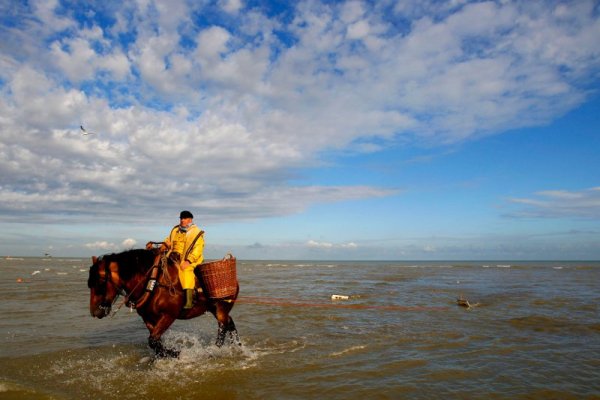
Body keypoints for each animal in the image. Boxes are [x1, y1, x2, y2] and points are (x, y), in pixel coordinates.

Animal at [87, 248, 241, 358]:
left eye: (99, 282)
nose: (94, 311)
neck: (153, 282)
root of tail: (235, 280)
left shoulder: (168, 315)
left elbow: (153, 341)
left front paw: (176, 353)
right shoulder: (148, 318)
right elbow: (155, 342)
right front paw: (165, 354)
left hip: (220, 307)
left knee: (223, 326)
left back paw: (213, 350)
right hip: (216, 309)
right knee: (230, 323)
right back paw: (237, 346)